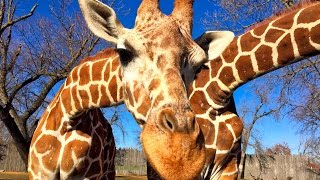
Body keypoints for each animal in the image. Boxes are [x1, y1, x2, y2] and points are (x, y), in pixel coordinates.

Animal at [28, 0, 235, 179]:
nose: (181, 157)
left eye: (199, 67)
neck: (69, 116)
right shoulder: (38, 173)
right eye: (124, 53)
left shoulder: (89, 176)